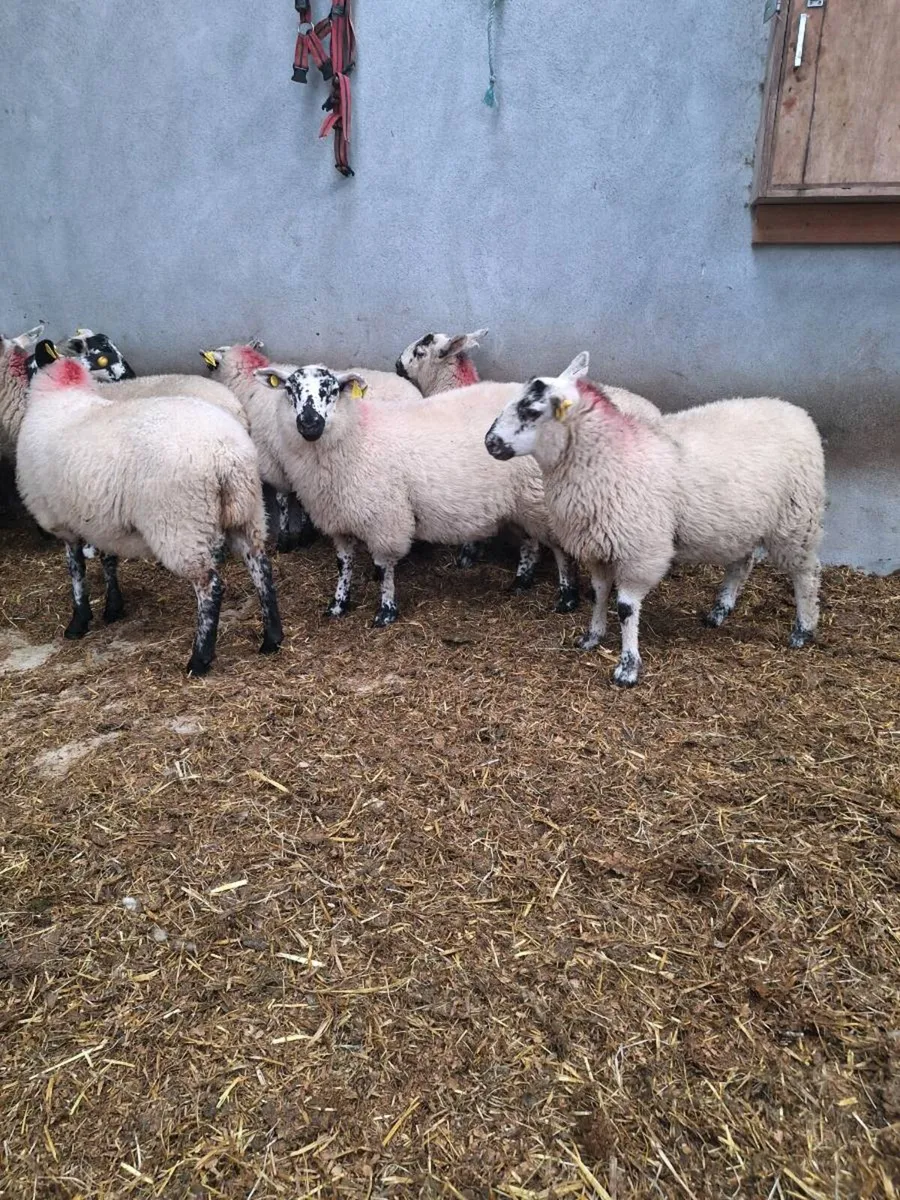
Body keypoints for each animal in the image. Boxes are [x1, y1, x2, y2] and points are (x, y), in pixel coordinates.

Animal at [17, 340, 282, 676]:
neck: (61, 392)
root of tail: (228, 455)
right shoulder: (101, 518)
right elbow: (107, 559)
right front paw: (113, 607)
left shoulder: (63, 521)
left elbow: (76, 570)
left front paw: (78, 622)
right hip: (248, 513)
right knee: (261, 567)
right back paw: (272, 638)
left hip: (181, 524)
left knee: (210, 586)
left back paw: (199, 659)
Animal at [255, 363, 581, 624]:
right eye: (290, 389)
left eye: (332, 390)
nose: (310, 423)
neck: (356, 436)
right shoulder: (339, 517)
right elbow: (343, 564)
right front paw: (338, 604)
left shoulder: (385, 519)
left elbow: (384, 568)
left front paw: (386, 612)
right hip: (522, 501)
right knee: (530, 541)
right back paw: (521, 581)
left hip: (542, 500)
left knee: (560, 548)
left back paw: (566, 598)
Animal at [485, 352, 825, 686]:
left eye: (530, 410)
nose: (490, 442)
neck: (607, 458)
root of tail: (796, 412)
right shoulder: (598, 547)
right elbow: (599, 593)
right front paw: (592, 636)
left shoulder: (640, 551)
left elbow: (625, 607)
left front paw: (627, 668)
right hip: (743, 523)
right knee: (742, 563)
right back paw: (719, 611)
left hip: (797, 520)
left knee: (806, 573)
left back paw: (803, 629)